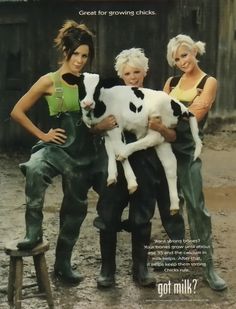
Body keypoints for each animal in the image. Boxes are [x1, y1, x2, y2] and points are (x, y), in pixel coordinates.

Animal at [77, 71, 201, 214]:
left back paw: (125, 151)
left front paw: (131, 182)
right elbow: (110, 150)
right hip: (165, 133)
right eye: (81, 86)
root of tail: (181, 107)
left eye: (97, 88)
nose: (87, 103)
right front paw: (112, 176)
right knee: (169, 163)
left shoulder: (116, 127)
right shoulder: (106, 131)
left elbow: (117, 149)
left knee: (153, 138)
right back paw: (174, 205)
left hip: (156, 118)